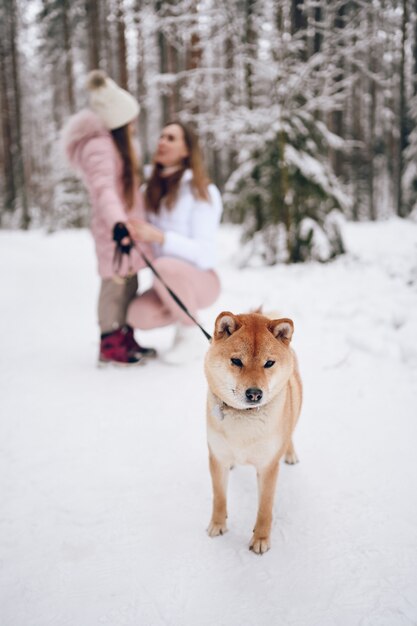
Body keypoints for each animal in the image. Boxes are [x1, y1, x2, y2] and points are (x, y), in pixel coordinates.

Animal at [203, 310, 300, 552]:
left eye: (269, 363)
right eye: (236, 361)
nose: (254, 393)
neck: (244, 418)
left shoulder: (268, 466)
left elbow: (265, 508)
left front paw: (261, 539)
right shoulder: (217, 457)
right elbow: (219, 497)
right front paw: (217, 525)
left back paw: (291, 454)